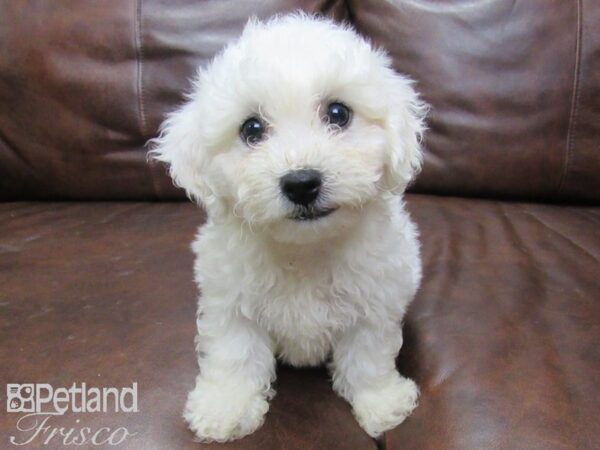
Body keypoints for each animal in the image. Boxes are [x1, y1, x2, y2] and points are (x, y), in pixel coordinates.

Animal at [150, 13, 426, 442]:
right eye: (251, 129)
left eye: (338, 113)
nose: (301, 182)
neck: (304, 249)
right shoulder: (230, 302)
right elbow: (234, 353)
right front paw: (225, 407)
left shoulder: (376, 301)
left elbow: (367, 356)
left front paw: (380, 402)